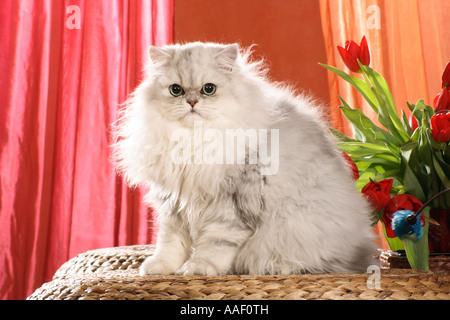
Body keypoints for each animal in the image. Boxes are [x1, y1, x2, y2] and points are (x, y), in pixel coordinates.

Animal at [112, 42, 376, 276]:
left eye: (209, 89)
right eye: (176, 90)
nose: (192, 102)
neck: (193, 142)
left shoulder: (231, 205)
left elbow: (214, 245)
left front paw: (197, 269)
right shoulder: (174, 202)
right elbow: (170, 244)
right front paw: (157, 268)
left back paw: (279, 267)